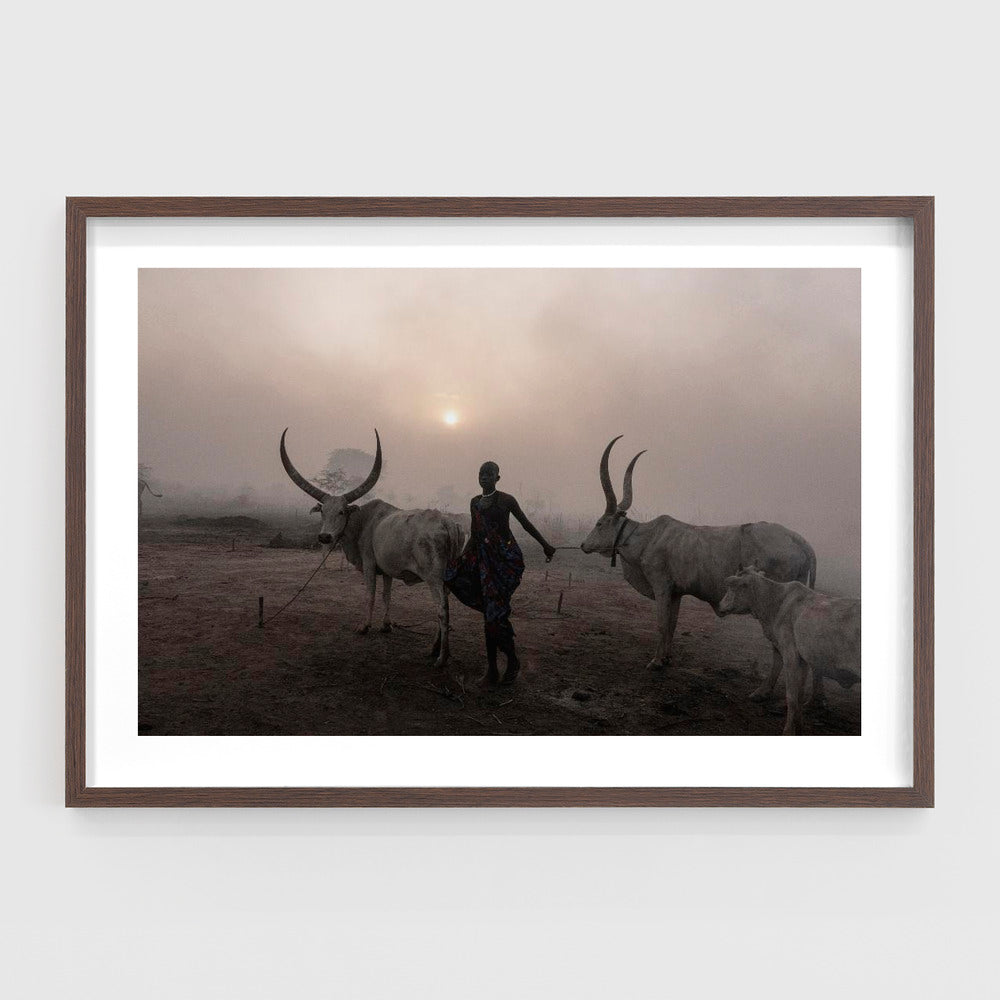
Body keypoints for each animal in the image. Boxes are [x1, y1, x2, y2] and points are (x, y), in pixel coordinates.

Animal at [280, 428, 466, 668]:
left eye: (342, 511)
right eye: (323, 512)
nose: (324, 536)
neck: (363, 522)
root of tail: (448, 523)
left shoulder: (369, 564)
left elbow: (370, 594)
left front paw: (364, 626)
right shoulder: (386, 570)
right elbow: (387, 595)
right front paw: (386, 625)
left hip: (434, 578)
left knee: (442, 611)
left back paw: (441, 658)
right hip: (448, 579)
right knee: (447, 609)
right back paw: (435, 649)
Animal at [584, 438, 816, 672]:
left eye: (599, 523)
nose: (584, 545)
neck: (648, 537)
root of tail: (800, 540)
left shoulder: (662, 587)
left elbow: (662, 624)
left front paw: (656, 661)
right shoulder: (676, 593)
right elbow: (672, 624)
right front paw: (666, 658)